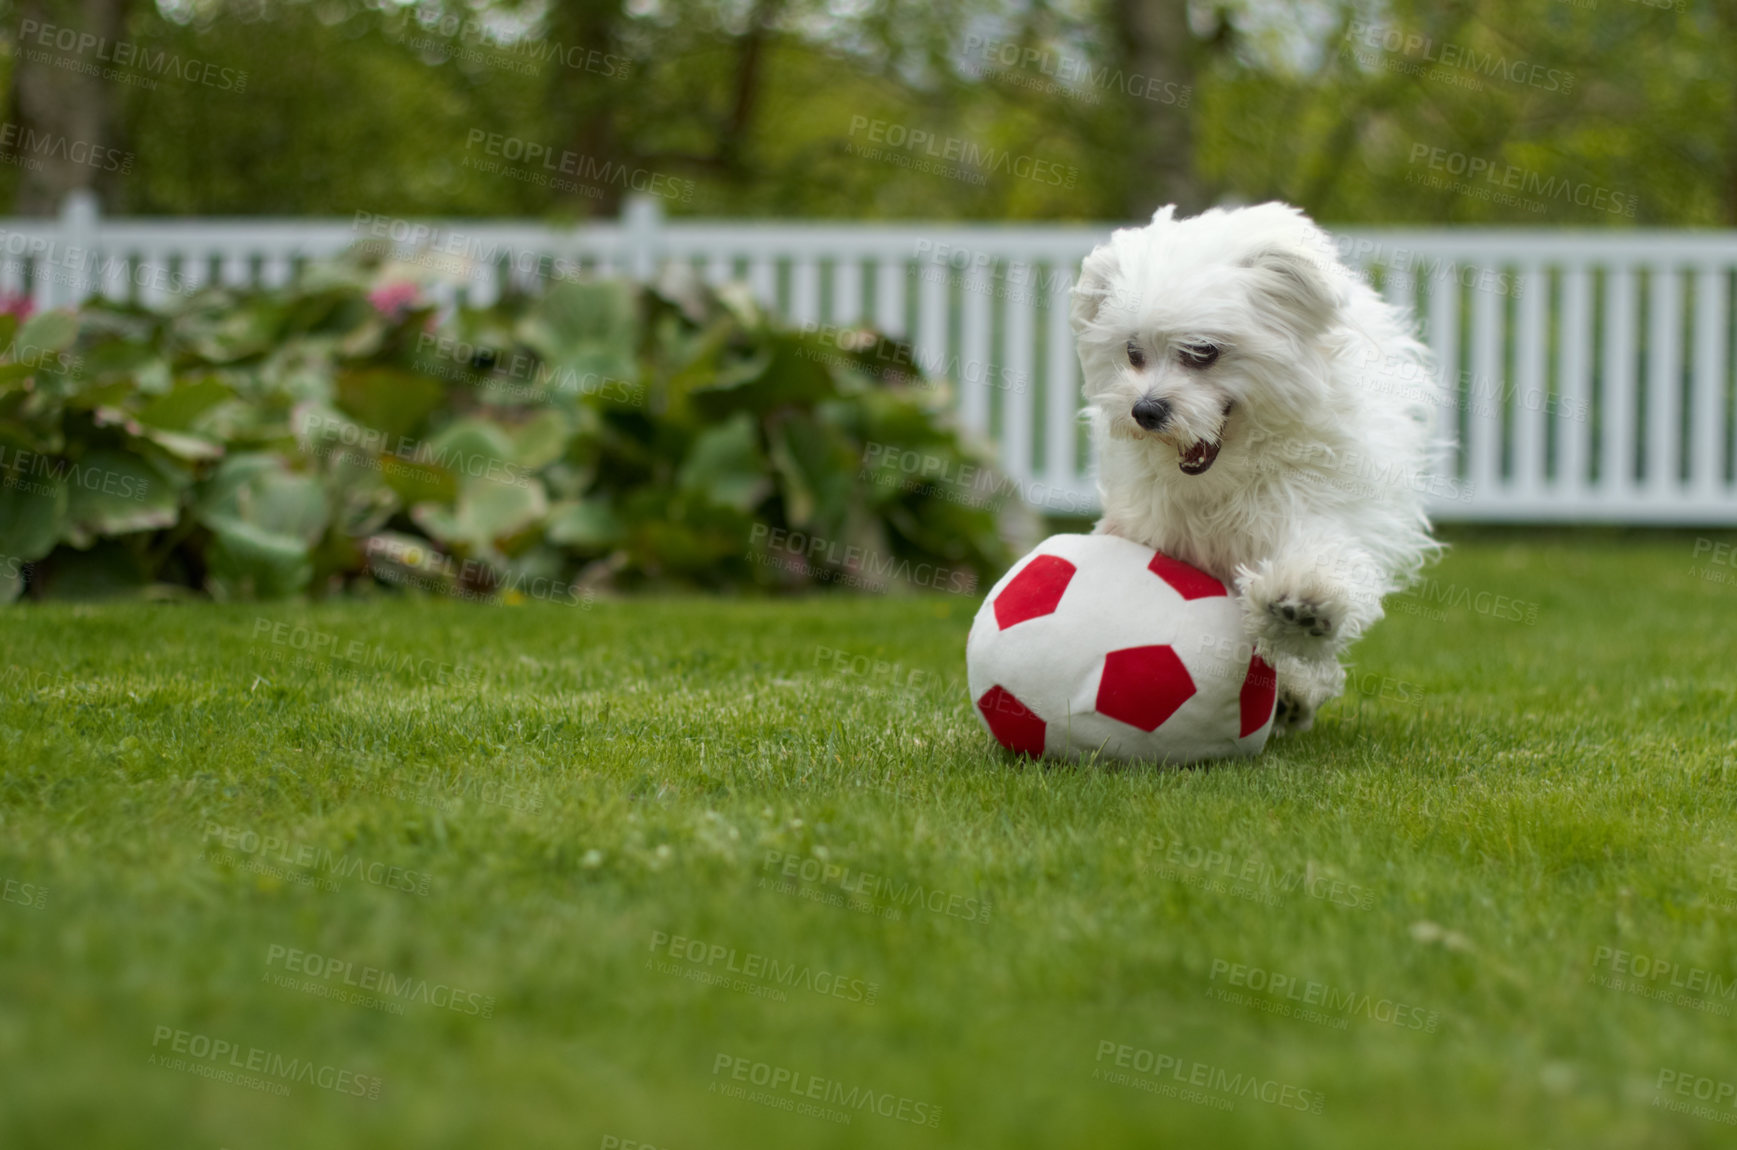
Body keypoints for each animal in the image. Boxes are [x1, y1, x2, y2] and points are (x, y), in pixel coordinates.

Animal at [1063, 201, 1445, 733]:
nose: (1145, 410)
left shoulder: (1314, 504)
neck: (1228, 482)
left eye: (1202, 351)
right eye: (1133, 353)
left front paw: (1302, 604)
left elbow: (1320, 557)